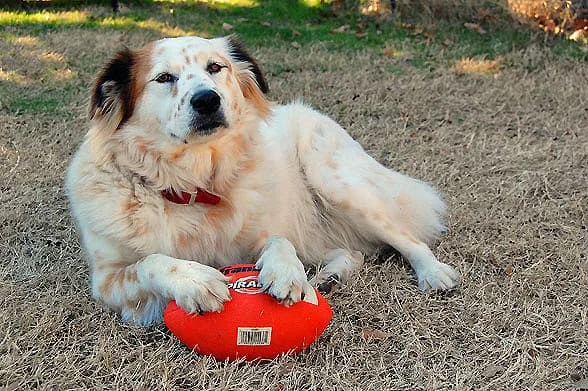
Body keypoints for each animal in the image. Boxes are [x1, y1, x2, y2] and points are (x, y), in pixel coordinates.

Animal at [64, 36, 460, 324]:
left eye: (215, 67)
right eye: (164, 78)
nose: (207, 100)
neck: (193, 186)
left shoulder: (259, 234)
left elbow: (278, 240)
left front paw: (285, 272)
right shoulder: (107, 281)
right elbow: (151, 261)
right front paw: (195, 280)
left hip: (334, 182)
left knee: (406, 238)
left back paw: (433, 273)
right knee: (352, 251)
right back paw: (329, 277)